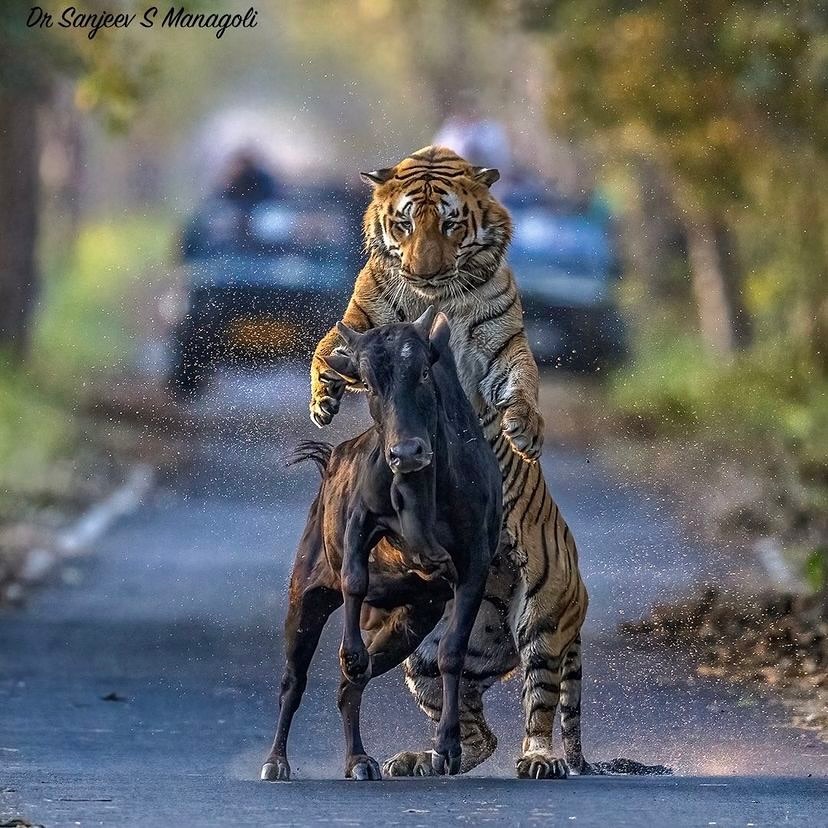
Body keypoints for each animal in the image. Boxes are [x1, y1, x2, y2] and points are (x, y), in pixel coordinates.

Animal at [262, 308, 502, 780]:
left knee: (348, 689)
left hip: (406, 625)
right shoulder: (360, 520)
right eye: (371, 385)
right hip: (306, 595)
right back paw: (276, 761)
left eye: (424, 372)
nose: (407, 453)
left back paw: (359, 760)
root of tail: (329, 463)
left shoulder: (474, 564)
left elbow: (452, 654)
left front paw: (446, 748)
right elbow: (354, 578)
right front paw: (350, 653)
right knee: (293, 681)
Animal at [308, 144, 588, 776]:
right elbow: (327, 347)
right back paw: (425, 758)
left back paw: (537, 758)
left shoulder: (504, 346)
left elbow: (522, 380)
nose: (427, 273)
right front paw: (322, 400)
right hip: (428, 654)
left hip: (542, 614)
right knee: (474, 724)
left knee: (539, 701)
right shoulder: (361, 324)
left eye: (452, 225)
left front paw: (522, 430)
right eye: (405, 224)